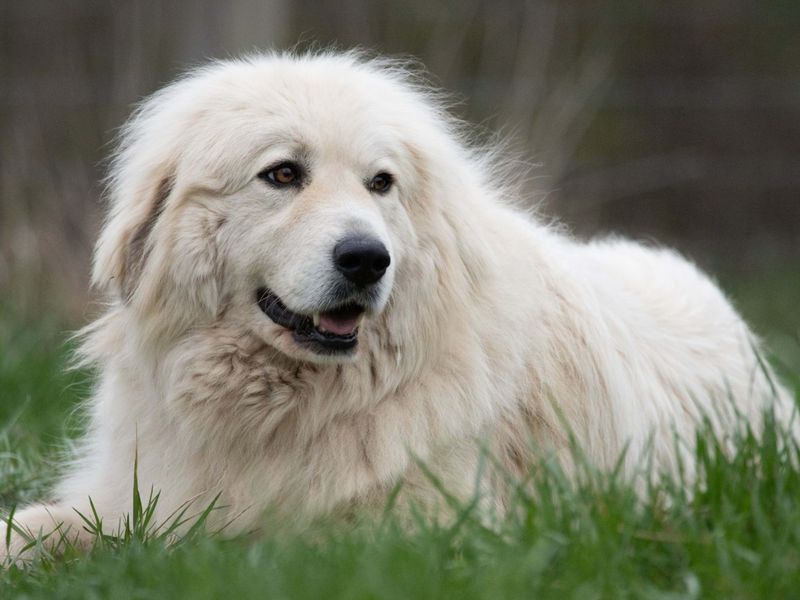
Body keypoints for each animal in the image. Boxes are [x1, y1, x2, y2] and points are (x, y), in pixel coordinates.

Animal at [3, 51, 796, 564]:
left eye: (380, 183)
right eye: (282, 174)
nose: (366, 258)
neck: (288, 410)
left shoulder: (421, 526)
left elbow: (224, 541)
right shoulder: (136, 489)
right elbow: (39, 525)